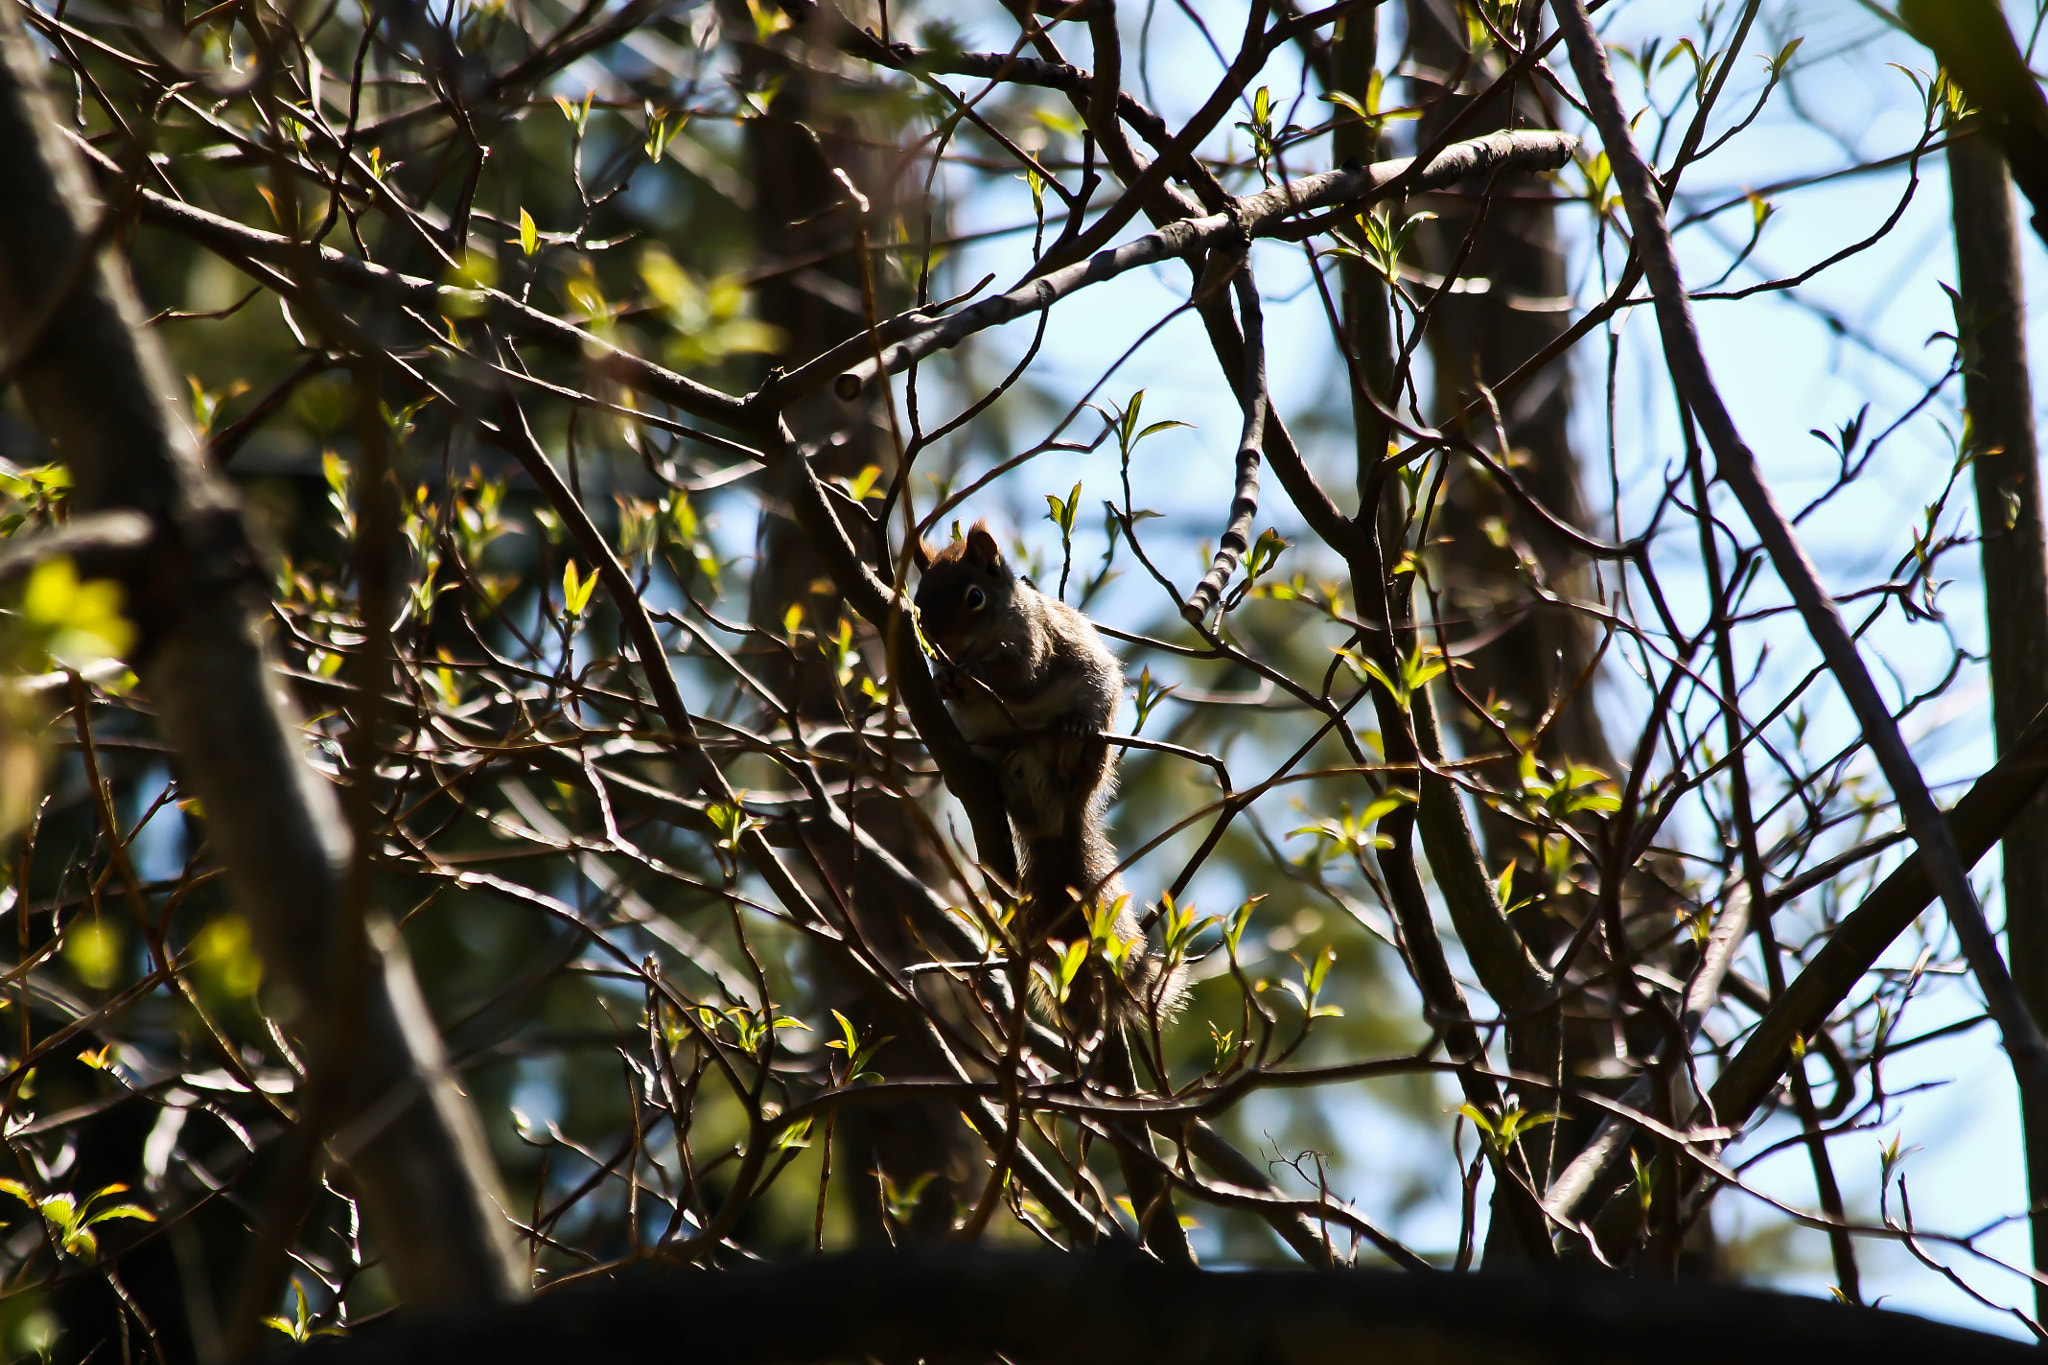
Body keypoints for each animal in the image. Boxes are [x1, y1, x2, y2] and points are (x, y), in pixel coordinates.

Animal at [914, 521, 1181, 1028]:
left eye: (974, 597)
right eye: (918, 602)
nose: (940, 645)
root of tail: (1057, 820)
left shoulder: (1036, 643)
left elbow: (1021, 678)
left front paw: (971, 672)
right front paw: (942, 680)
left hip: (1098, 725)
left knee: (1078, 756)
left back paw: (1072, 742)